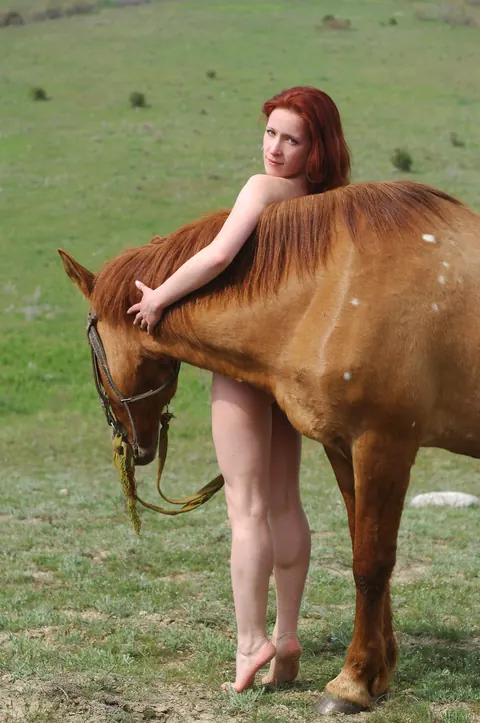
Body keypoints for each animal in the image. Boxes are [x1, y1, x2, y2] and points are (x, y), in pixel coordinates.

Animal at [59, 180, 480, 715]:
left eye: (92, 358)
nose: (134, 446)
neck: (334, 287)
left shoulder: (384, 444)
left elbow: (371, 563)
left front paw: (351, 683)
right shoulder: (344, 449)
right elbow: (365, 550)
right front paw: (378, 672)